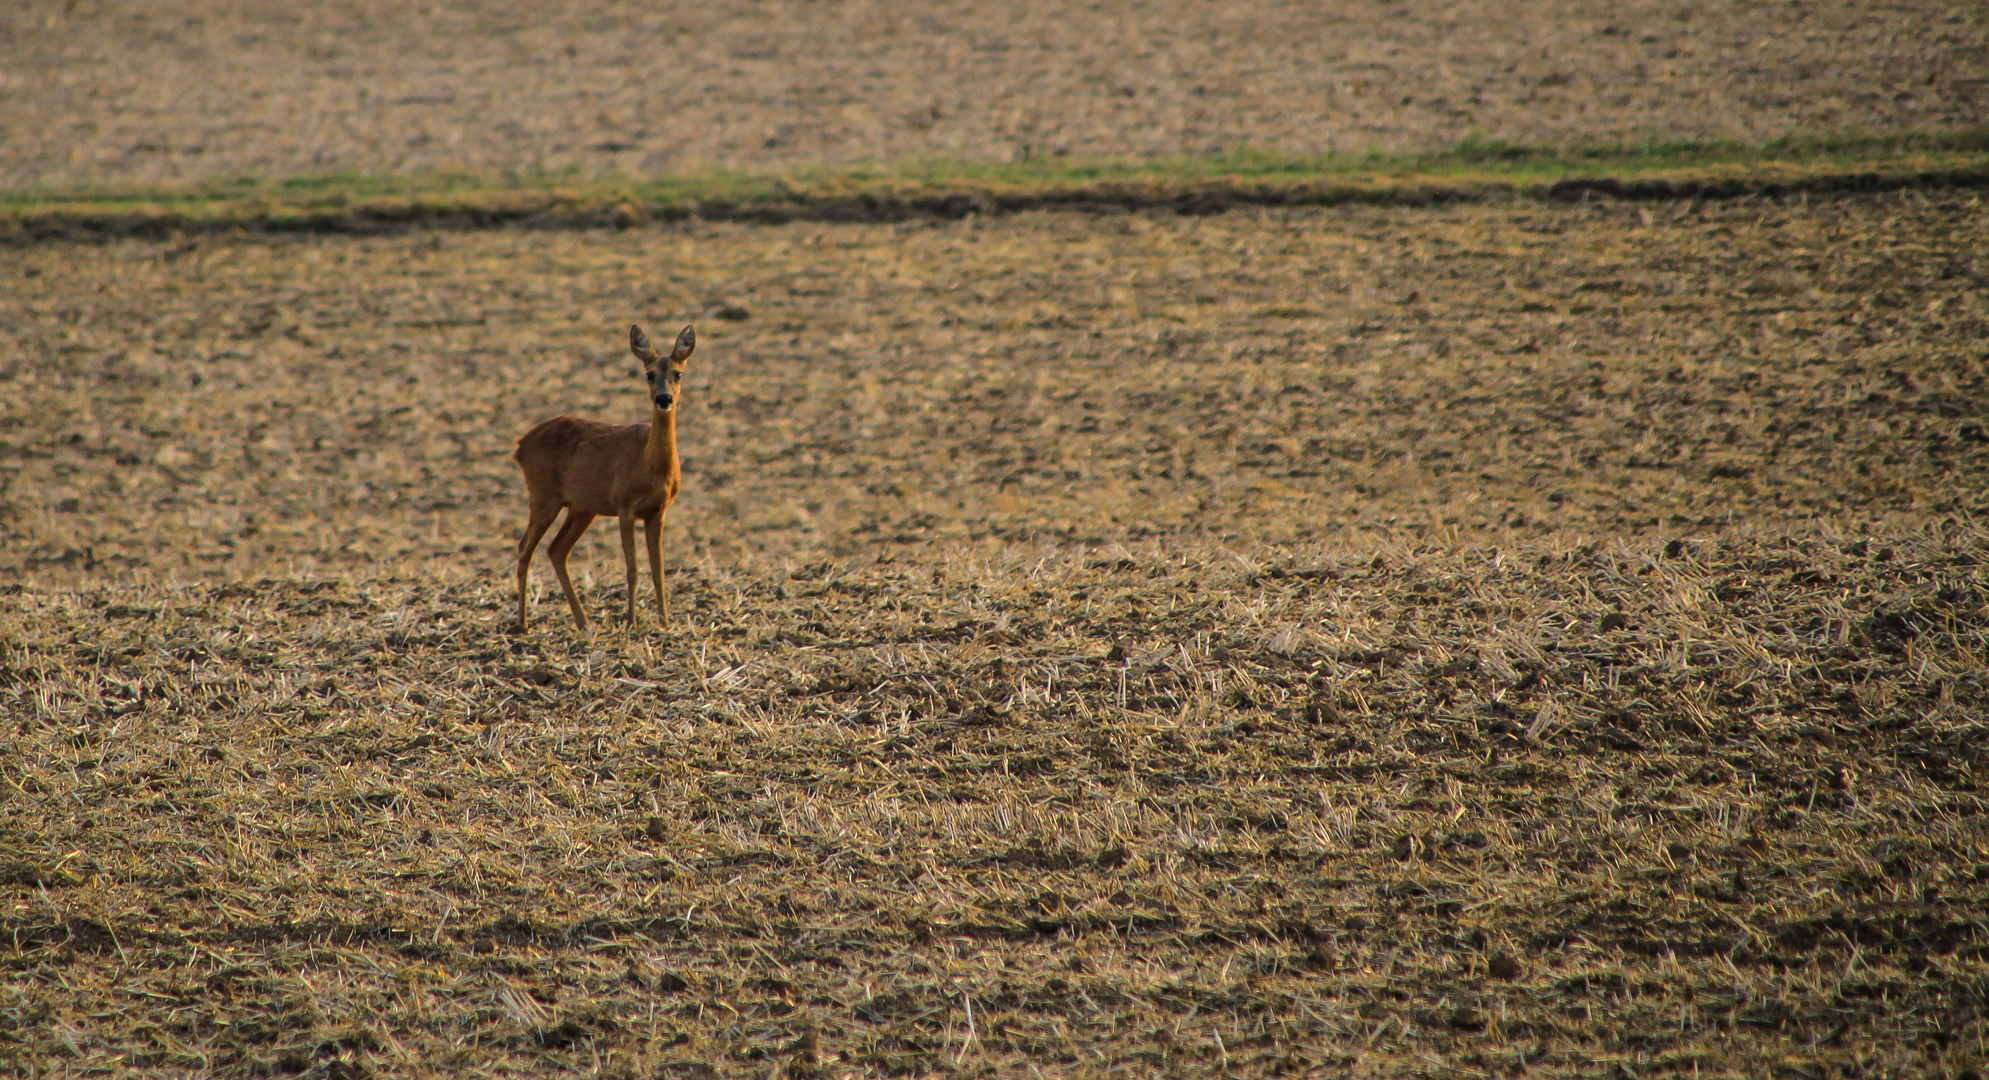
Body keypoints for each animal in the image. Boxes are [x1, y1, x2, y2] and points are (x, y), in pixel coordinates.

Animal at [509, 326, 696, 628]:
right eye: (649, 374)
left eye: (678, 373)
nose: (664, 399)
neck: (650, 465)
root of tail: (520, 446)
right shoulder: (625, 506)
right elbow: (632, 568)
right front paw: (632, 622)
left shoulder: (658, 511)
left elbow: (658, 569)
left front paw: (665, 622)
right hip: (543, 495)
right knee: (525, 547)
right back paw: (523, 623)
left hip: (582, 508)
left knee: (556, 550)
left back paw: (583, 622)